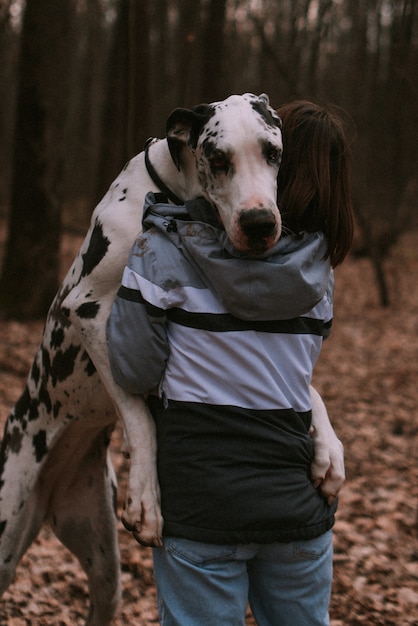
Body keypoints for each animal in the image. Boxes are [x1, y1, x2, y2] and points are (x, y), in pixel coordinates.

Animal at [0, 94, 284, 624]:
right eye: (218, 159)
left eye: (272, 152)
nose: (260, 224)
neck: (170, 199)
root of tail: (50, 494)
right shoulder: (90, 313)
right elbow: (139, 413)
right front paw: (148, 498)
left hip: (103, 567)